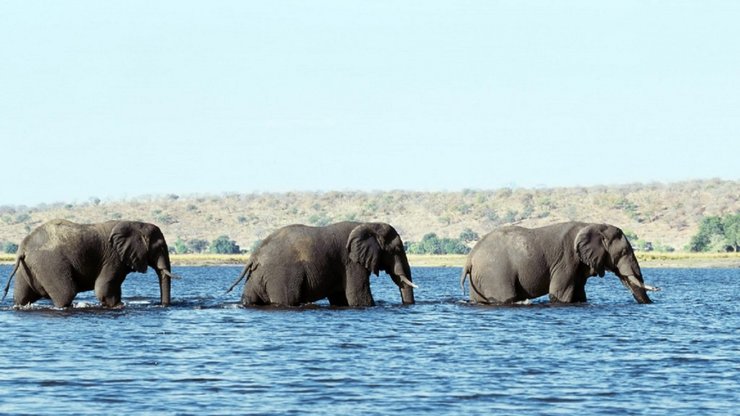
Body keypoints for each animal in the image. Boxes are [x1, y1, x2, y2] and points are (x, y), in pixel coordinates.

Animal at [1, 219, 178, 308]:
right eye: (160, 247)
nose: (164, 305)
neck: (136, 224)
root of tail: (24, 246)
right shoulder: (114, 257)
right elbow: (103, 289)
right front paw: (119, 306)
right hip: (49, 264)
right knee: (66, 293)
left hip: (27, 268)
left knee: (21, 297)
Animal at [225, 221, 416, 306]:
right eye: (397, 249)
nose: (407, 305)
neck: (368, 224)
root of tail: (255, 255)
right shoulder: (351, 262)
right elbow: (358, 297)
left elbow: (340, 298)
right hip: (280, 277)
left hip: (257, 276)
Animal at [462, 221, 660, 306]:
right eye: (624, 252)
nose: (650, 304)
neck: (594, 225)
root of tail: (470, 259)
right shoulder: (567, 260)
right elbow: (560, 294)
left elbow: (579, 294)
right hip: (495, 273)